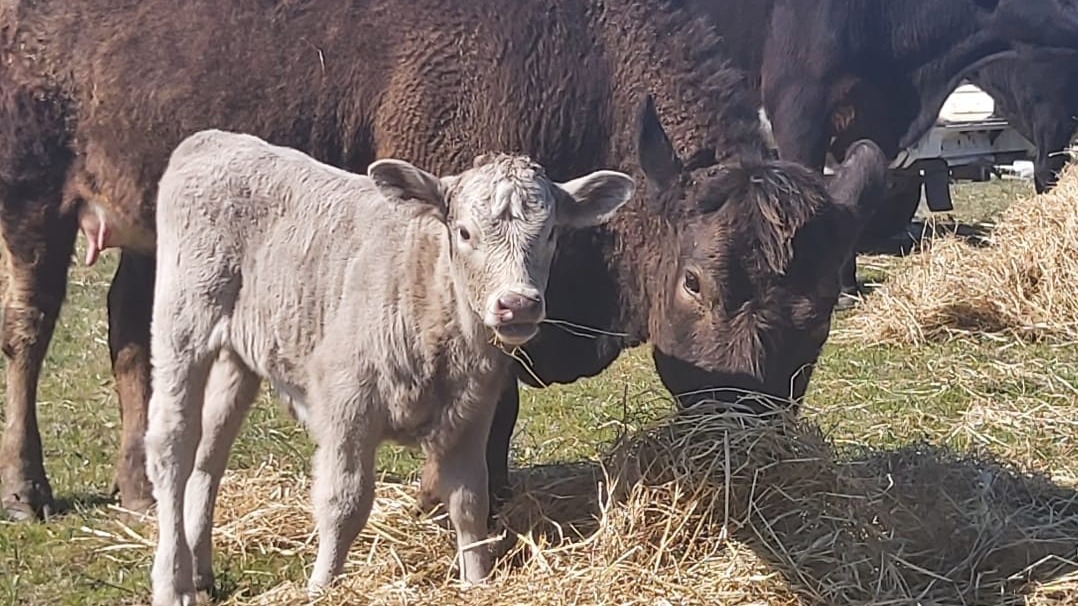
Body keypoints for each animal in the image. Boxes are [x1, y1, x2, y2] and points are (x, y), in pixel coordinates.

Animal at [0, 0, 887, 522]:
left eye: (820, 309)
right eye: (694, 282)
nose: (749, 438)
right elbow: (491, 398)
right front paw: (450, 496)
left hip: (156, 229)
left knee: (131, 332)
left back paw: (144, 487)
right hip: (33, 197)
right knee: (28, 334)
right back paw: (28, 491)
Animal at [146, 130, 636, 603]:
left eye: (551, 233)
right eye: (464, 232)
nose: (517, 304)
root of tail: (215, 140)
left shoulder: (472, 415)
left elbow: (470, 502)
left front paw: (477, 583)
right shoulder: (346, 405)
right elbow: (344, 503)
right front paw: (322, 587)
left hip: (237, 355)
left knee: (210, 451)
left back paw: (200, 573)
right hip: (181, 324)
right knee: (173, 446)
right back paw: (173, 583)